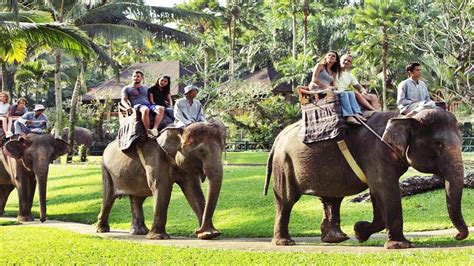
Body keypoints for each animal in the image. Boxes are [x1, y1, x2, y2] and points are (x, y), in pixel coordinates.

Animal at [96, 121, 226, 240]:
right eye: (201, 151)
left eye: (222, 149)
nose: (196, 230)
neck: (179, 129)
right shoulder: (155, 158)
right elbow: (162, 188)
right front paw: (158, 237)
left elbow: (193, 190)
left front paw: (209, 234)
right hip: (106, 170)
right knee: (108, 198)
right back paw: (102, 230)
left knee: (137, 199)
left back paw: (139, 232)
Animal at [264, 107, 468, 248]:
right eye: (438, 144)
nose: (457, 236)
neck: (404, 117)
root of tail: (278, 136)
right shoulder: (376, 153)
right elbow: (386, 189)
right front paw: (400, 245)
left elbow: (377, 192)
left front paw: (359, 232)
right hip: (284, 164)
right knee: (286, 200)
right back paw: (285, 242)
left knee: (332, 198)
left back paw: (336, 239)